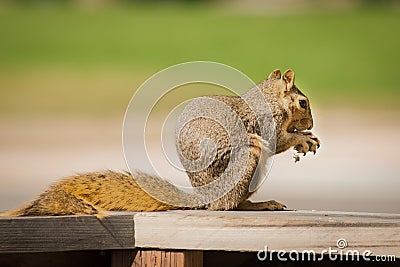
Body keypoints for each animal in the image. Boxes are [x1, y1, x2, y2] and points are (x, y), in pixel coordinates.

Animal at [2, 68, 318, 218]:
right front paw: (304, 139)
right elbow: (278, 140)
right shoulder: (267, 123)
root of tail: (204, 196)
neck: (270, 99)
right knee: (227, 205)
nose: (311, 124)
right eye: (303, 103)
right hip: (246, 161)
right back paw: (256, 204)